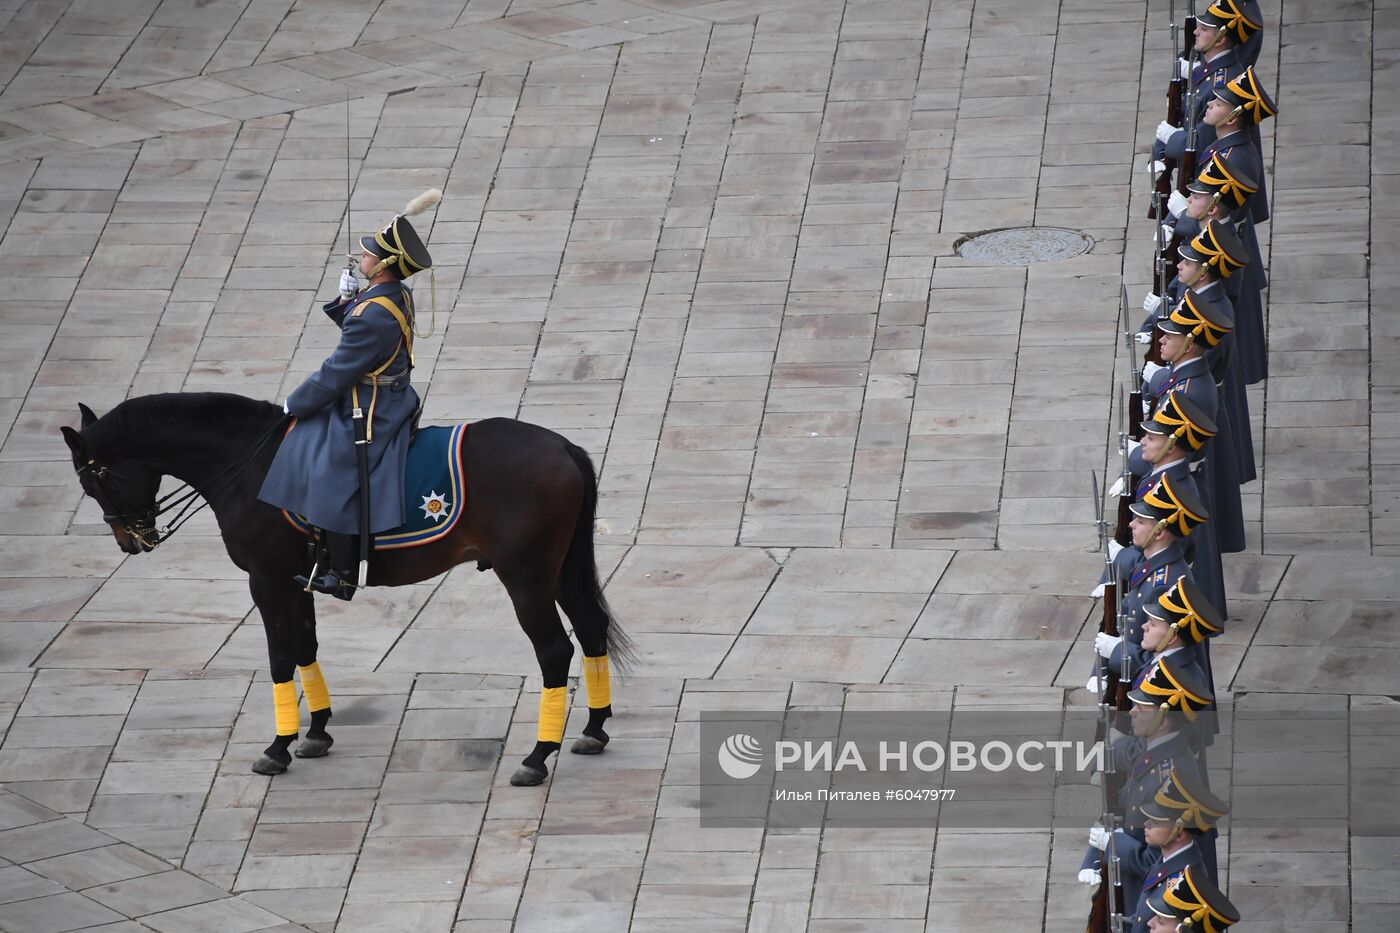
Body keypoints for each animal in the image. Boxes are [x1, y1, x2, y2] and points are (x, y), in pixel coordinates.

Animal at [61, 389, 635, 778]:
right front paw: (315, 731)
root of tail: (563, 447)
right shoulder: (298, 579)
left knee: (554, 650)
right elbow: (305, 647)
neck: (250, 462)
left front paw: (278, 746)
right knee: (590, 628)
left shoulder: (267, 580)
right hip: (560, 570)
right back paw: (593, 729)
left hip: (527, 576)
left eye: (91, 482)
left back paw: (538, 756)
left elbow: (278, 656)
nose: (130, 541)